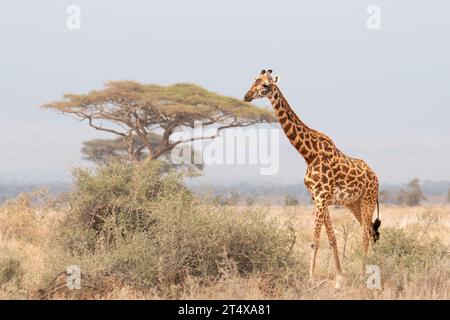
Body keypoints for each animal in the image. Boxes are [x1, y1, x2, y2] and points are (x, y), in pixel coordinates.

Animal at [244, 69, 382, 288]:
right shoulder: (317, 198)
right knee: (370, 231)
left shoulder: (321, 196)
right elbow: (331, 238)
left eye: (265, 85)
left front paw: (313, 279)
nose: (247, 96)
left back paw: (364, 274)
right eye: (254, 80)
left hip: (367, 200)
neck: (308, 154)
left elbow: (316, 240)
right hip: (354, 203)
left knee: (366, 235)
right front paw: (339, 277)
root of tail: (376, 177)